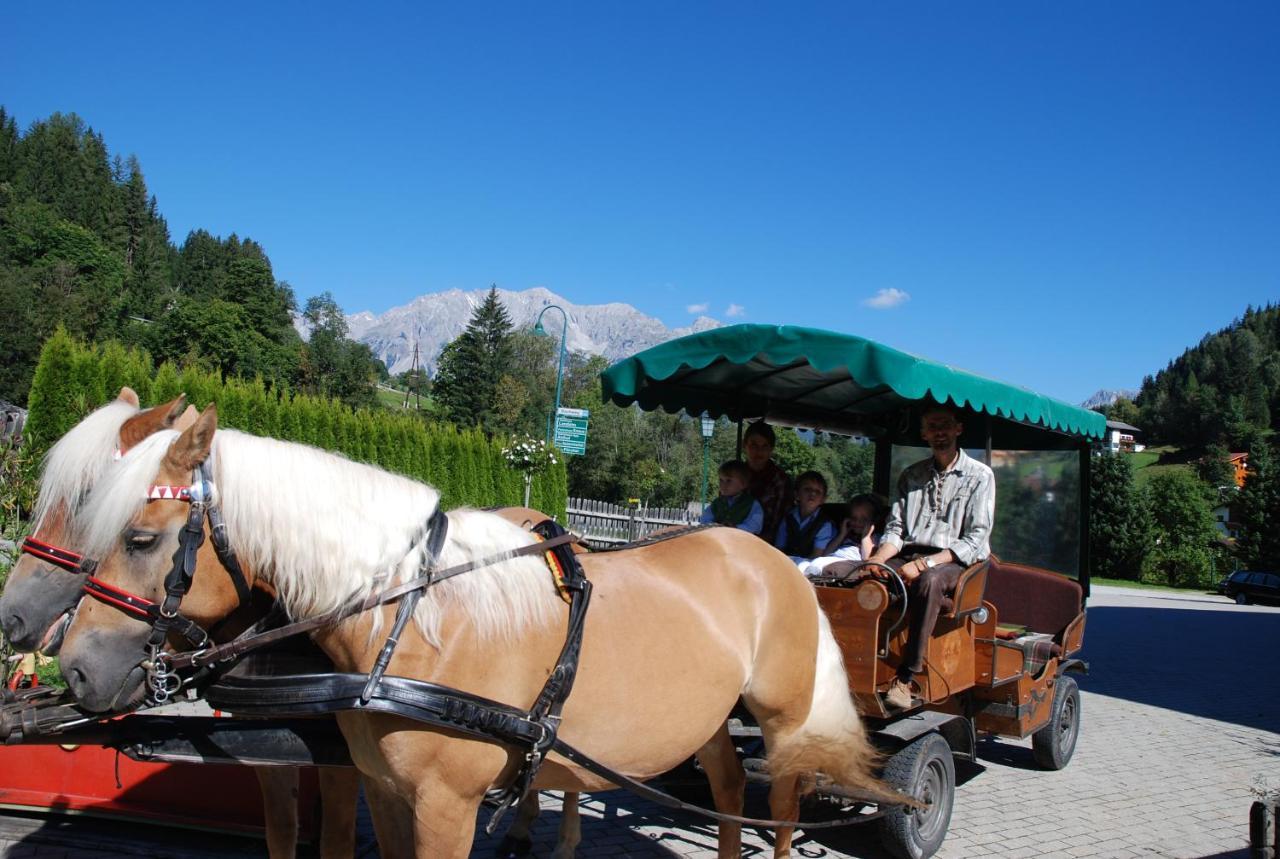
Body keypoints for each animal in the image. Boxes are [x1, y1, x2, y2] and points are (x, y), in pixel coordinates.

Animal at [62, 412, 901, 859]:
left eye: (141, 537)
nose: (73, 668)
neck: (412, 623)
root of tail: (775, 560)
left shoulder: (447, 804)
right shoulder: (388, 790)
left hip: (784, 719)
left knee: (781, 803)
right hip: (707, 718)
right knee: (728, 788)